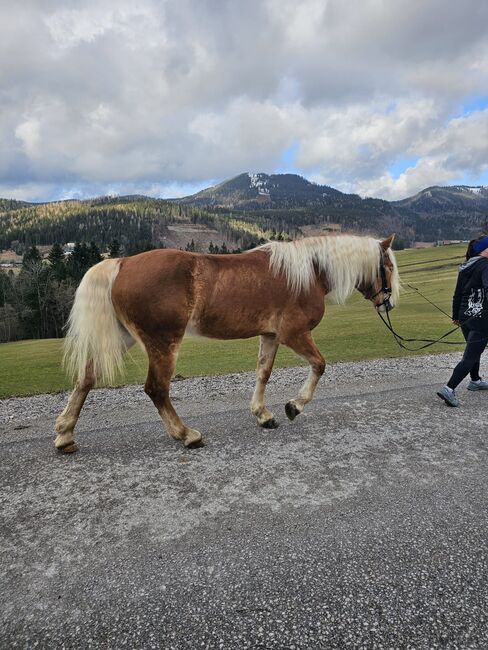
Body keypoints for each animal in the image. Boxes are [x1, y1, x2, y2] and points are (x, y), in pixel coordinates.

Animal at [54, 233, 400, 450]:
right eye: (388, 267)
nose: (389, 304)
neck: (308, 272)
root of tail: (122, 263)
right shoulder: (294, 334)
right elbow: (319, 365)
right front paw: (294, 406)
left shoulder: (271, 336)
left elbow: (263, 373)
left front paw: (263, 414)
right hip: (163, 342)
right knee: (156, 389)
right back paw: (186, 434)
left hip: (125, 338)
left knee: (86, 379)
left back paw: (65, 434)